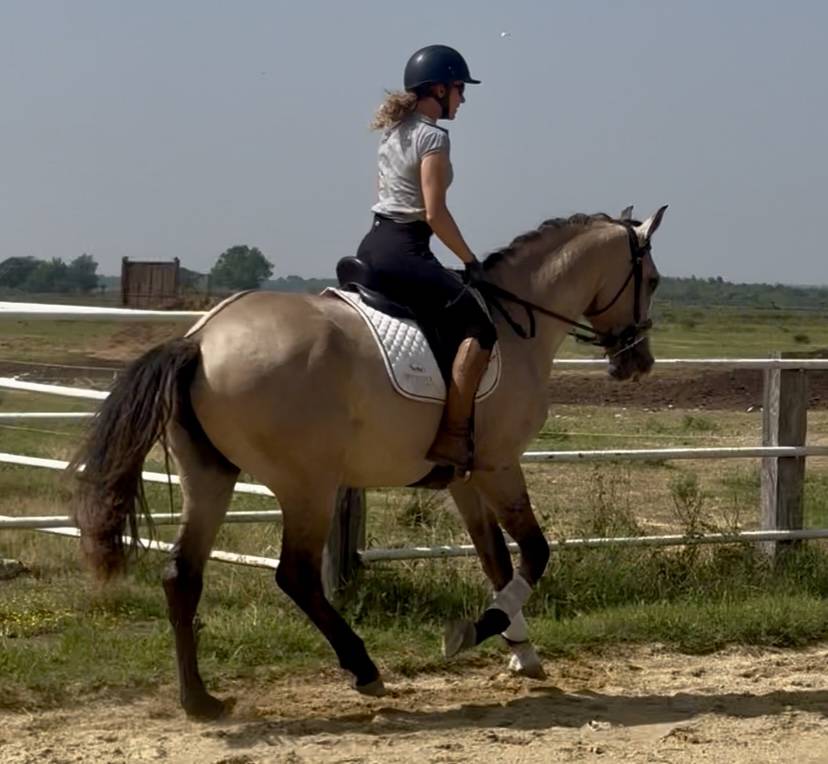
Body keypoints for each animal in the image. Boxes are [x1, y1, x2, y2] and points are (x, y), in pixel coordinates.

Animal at [69, 205, 667, 719]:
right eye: (654, 280)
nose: (637, 362)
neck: (518, 323)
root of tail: (200, 339)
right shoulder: (499, 467)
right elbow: (535, 553)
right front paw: (477, 632)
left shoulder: (466, 479)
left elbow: (494, 558)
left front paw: (522, 651)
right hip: (307, 486)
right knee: (296, 576)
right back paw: (364, 669)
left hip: (210, 475)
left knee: (182, 575)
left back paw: (200, 700)